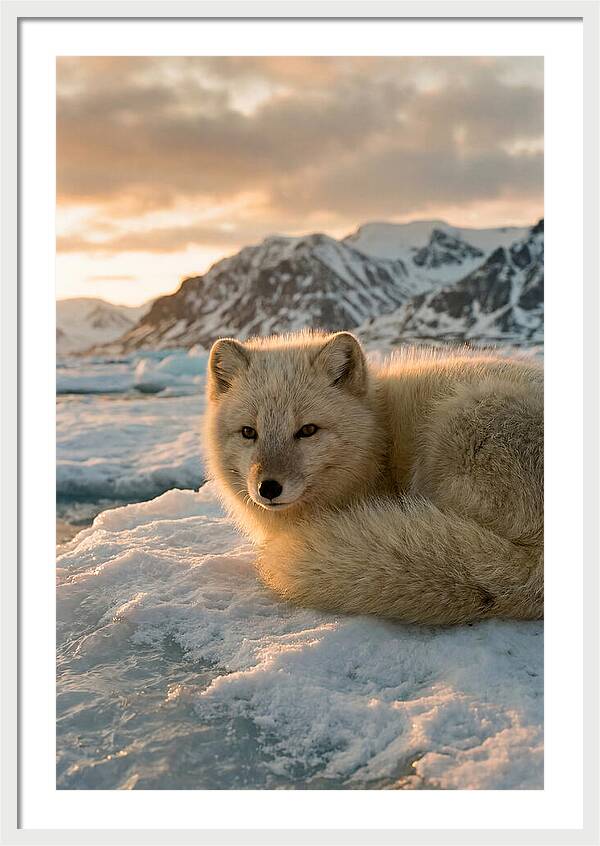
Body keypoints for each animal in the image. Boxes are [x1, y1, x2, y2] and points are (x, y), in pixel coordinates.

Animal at [204, 331, 543, 625]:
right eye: (249, 432)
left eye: (308, 430)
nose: (269, 488)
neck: (379, 437)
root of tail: (534, 567)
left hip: (459, 424)